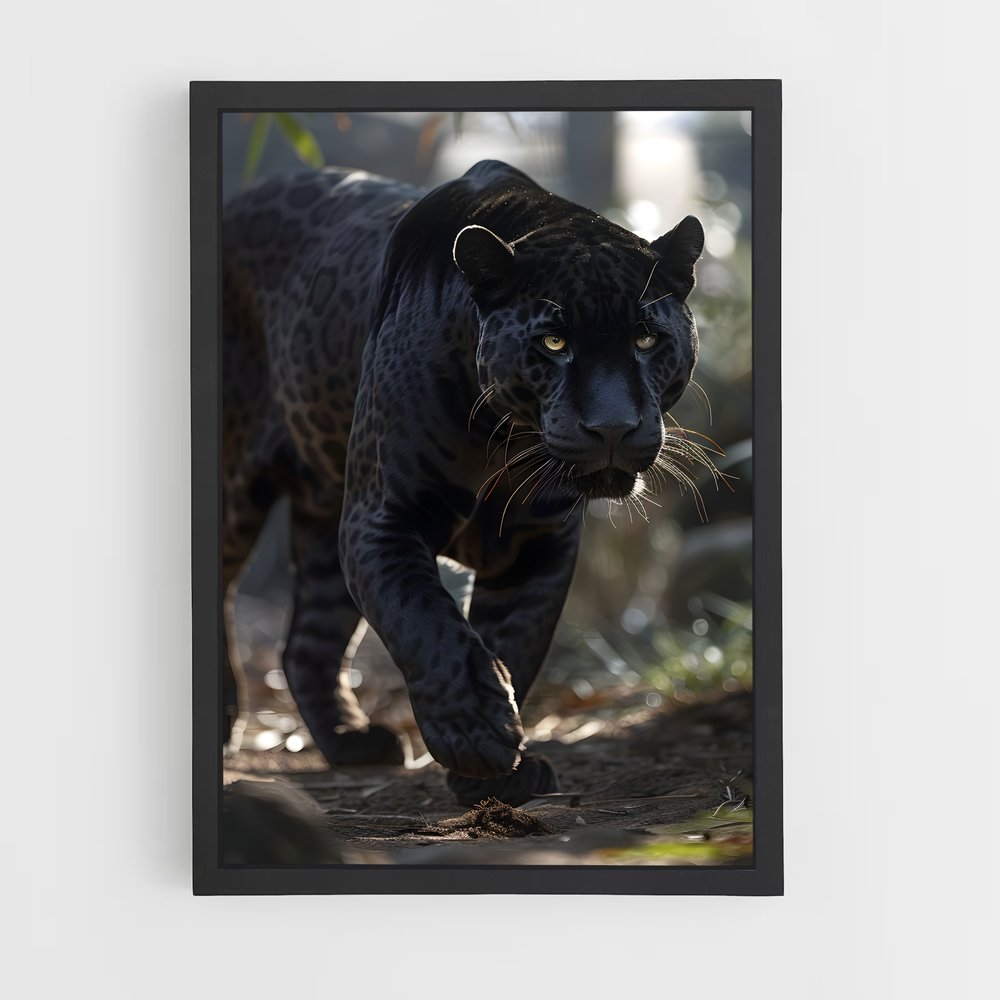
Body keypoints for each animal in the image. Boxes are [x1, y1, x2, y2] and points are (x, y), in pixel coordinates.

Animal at [222, 159, 704, 806]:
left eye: (646, 339)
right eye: (554, 342)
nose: (612, 427)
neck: (503, 443)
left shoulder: (537, 544)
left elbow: (515, 639)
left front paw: (498, 771)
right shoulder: (384, 518)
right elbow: (423, 620)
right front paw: (474, 732)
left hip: (324, 522)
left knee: (307, 644)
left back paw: (353, 743)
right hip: (234, 490)